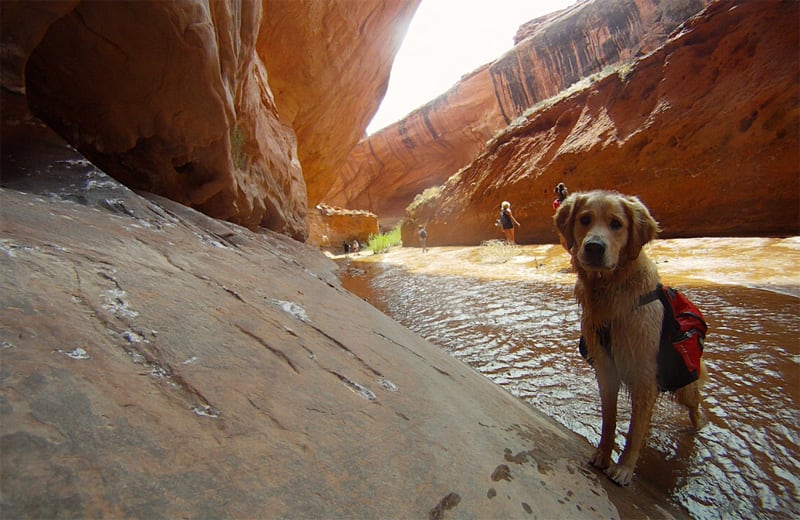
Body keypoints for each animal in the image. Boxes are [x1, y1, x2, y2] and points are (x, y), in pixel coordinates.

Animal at [556, 191, 708, 488]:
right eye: (584, 219)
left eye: (616, 224)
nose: (594, 247)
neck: (609, 288)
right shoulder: (606, 368)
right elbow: (610, 419)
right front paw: (603, 455)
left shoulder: (643, 373)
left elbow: (634, 431)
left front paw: (624, 468)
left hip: (684, 382)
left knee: (694, 406)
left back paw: (698, 427)